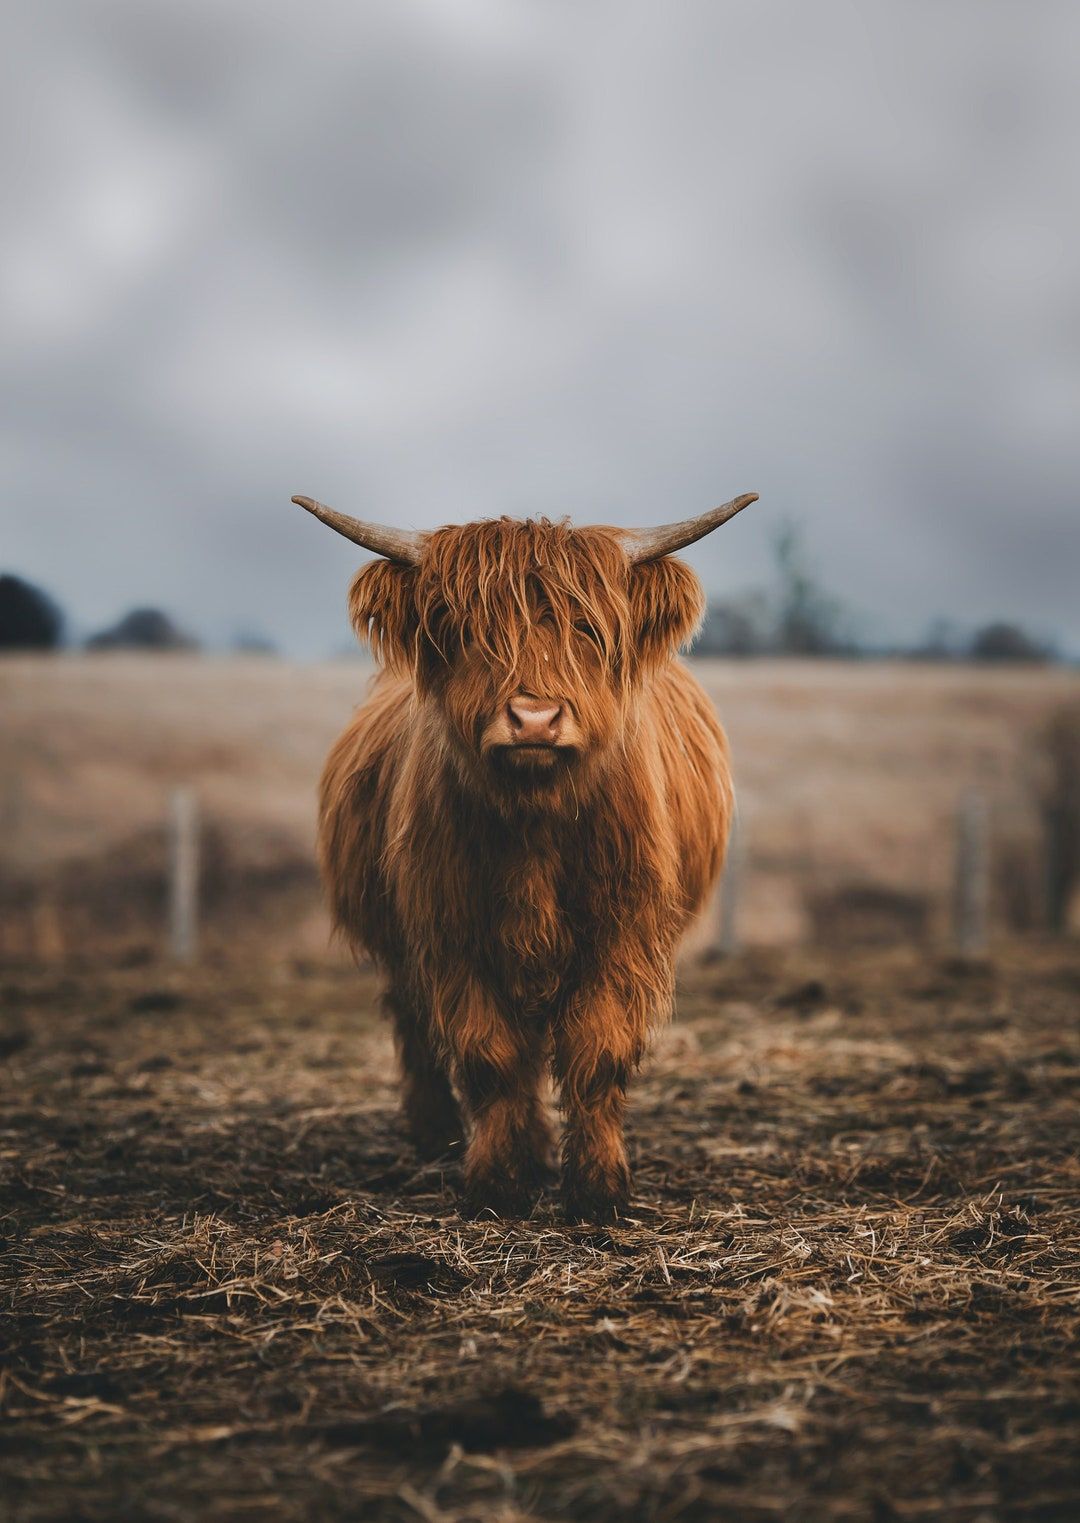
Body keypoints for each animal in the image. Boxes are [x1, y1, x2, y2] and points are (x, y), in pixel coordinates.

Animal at [296, 490, 756, 1221]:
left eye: (588, 629)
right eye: (467, 631)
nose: (535, 719)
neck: (535, 825)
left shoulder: (621, 934)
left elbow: (598, 1050)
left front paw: (598, 1187)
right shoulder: (452, 933)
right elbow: (490, 1055)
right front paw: (495, 1182)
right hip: (400, 944)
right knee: (415, 1025)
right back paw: (437, 1134)